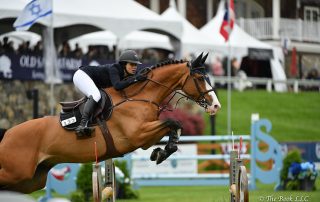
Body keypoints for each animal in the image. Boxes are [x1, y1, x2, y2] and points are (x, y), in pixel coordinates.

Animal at [0, 52, 220, 193]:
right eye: (199, 78)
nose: (216, 106)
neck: (139, 97)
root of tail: (7, 135)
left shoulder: (145, 138)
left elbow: (174, 126)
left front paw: (161, 152)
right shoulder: (138, 135)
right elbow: (172, 122)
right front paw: (161, 152)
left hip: (32, 180)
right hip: (17, 172)